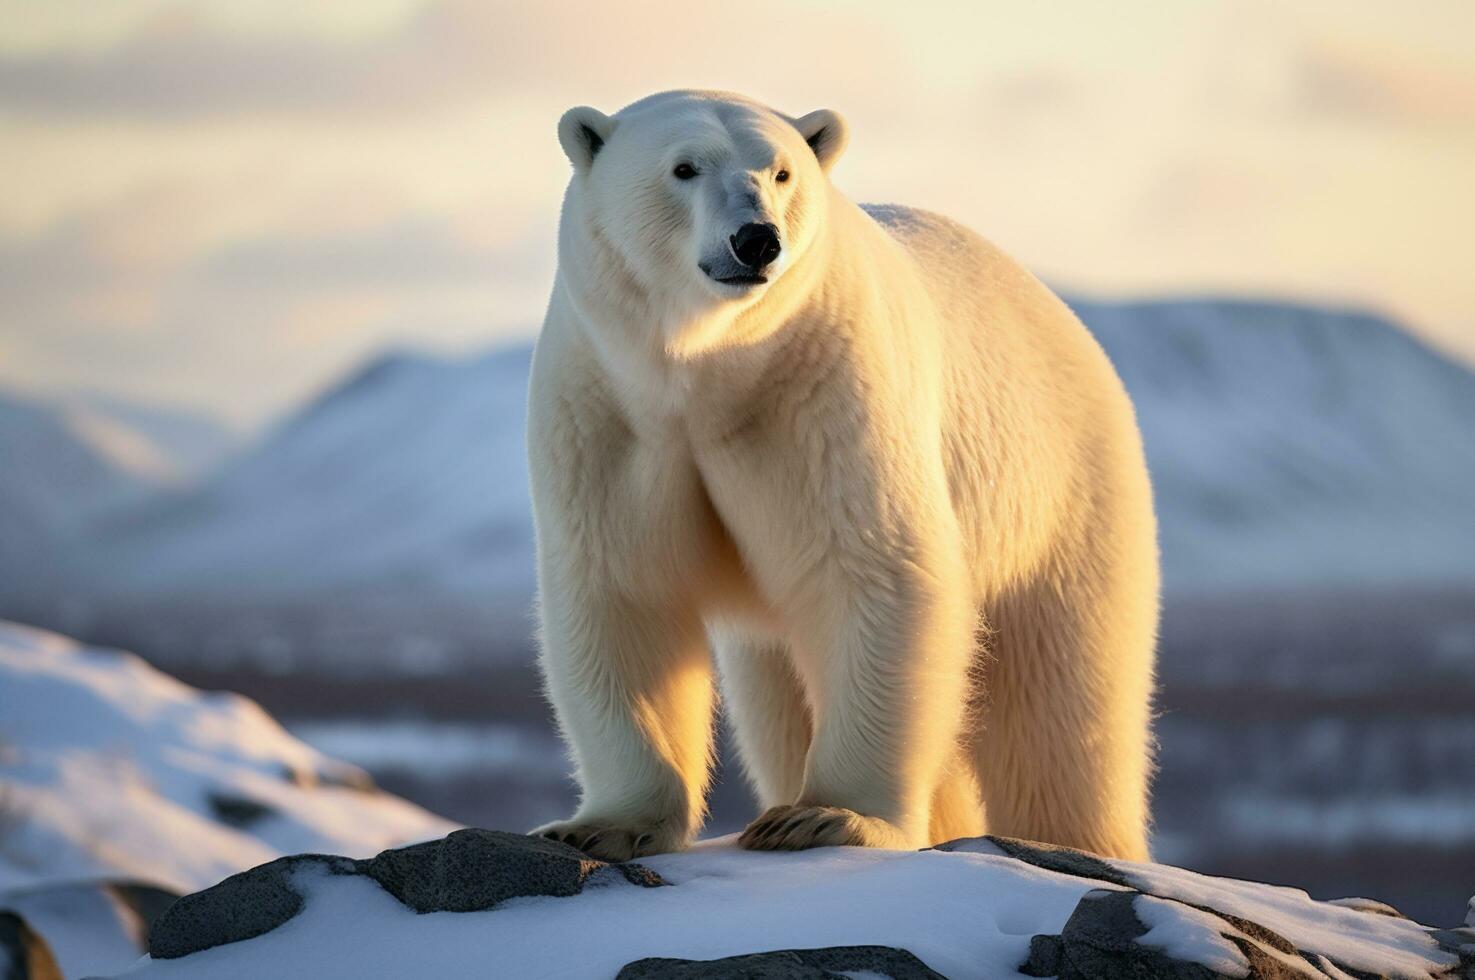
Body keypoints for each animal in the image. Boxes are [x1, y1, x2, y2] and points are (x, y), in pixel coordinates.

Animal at [525, 88, 1156, 861]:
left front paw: (825, 816)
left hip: (1061, 491)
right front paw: (603, 825)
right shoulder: (608, 414)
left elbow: (873, 570)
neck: (707, 375)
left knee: (1061, 706)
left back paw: (1076, 840)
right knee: (776, 697)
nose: (756, 240)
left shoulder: (822, 390)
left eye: (781, 171)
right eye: (684, 167)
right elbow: (623, 590)